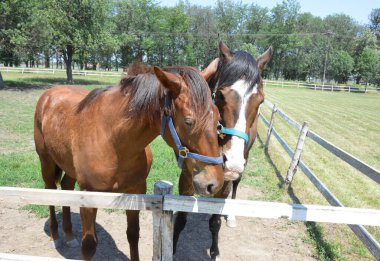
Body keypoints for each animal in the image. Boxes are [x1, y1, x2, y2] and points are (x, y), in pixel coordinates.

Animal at [34, 64, 224, 258]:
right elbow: (88, 245)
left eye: (218, 117)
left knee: (66, 187)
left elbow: (133, 235)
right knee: (50, 190)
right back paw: (56, 236)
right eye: (188, 121)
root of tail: (49, 94)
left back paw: (69, 235)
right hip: (46, 162)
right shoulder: (87, 195)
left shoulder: (135, 190)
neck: (113, 139)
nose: (214, 183)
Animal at [174, 41, 272, 258]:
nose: (231, 162)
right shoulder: (186, 174)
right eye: (219, 95)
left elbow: (215, 222)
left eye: (260, 101)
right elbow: (180, 218)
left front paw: (215, 252)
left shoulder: (226, 180)